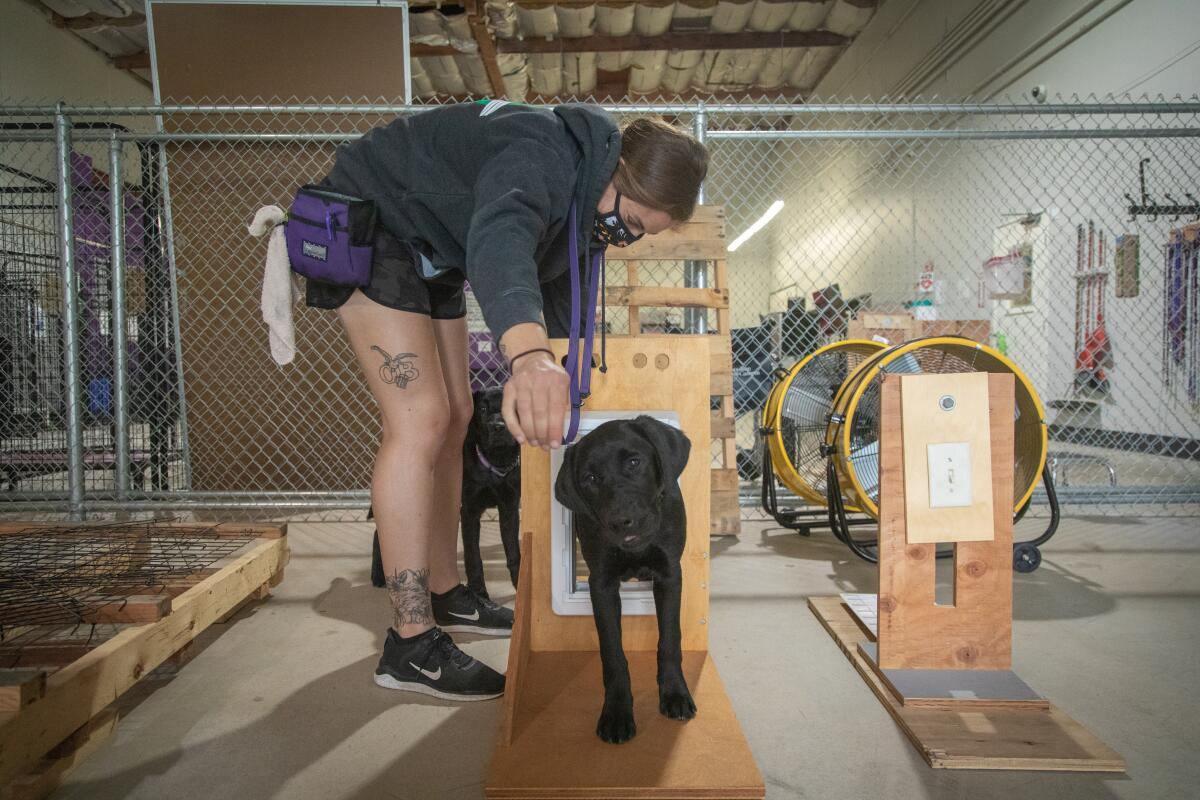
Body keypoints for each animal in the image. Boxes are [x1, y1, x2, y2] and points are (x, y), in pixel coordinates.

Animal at [369, 388, 520, 594]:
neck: (496, 460)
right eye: (482, 409)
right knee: (380, 533)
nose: (498, 427)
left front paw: (522, 586)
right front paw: (479, 591)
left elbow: (514, 553)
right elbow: (473, 557)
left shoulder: (509, 508)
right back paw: (378, 575)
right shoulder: (469, 511)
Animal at [552, 419, 696, 743]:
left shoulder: (670, 574)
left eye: (633, 462)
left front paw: (675, 693)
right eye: (590, 478)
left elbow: (670, 638)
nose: (620, 521)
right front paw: (617, 712)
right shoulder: (601, 583)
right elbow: (613, 652)